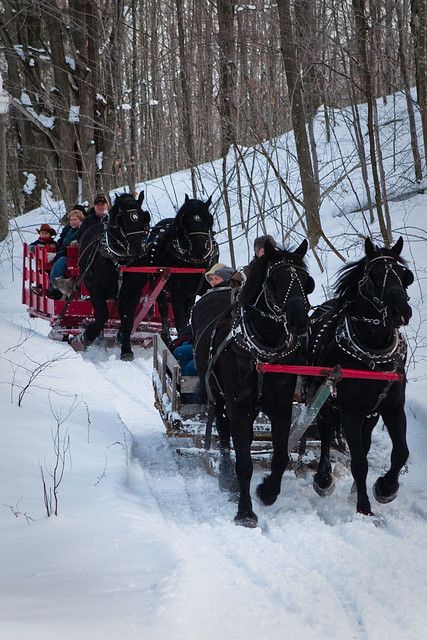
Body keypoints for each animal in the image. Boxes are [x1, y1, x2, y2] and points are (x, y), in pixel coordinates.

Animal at [75, 190, 150, 360]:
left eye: (143, 217)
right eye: (123, 220)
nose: (137, 249)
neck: (119, 260)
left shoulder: (133, 292)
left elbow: (128, 319)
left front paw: (126, 350)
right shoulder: (95, 288)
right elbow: (102, 316)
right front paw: (84, 337)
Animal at [145, 195, 219, 342]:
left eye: (208, 220)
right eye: (186, 222)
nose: (199, 248)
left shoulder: (198, 290)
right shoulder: (177, 293)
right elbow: (180, 322)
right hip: (160, 286)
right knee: (163, 309)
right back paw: (166, 337)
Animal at [192, 238, 316, 528]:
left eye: (307, 281)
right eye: (274, 281)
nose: (300, 322)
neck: (262, 349)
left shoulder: (281, 408)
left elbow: (280, 456)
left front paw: (267, 492)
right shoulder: (239, 407)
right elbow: (245, 462)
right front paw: (245, 511)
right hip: (219, 398)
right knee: (224, 434)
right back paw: (228, 478)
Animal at [308, 238, 414, 516]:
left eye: (404, 275)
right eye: (374, 275)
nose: (401, 311)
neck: (373, 354)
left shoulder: (392, 407)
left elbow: (401, 452)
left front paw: (386, 488)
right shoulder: (350, 412)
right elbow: (358, 461)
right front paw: (364, 507)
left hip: (371, 413)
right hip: (323, 401)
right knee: (325, 435)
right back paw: (324, 479)